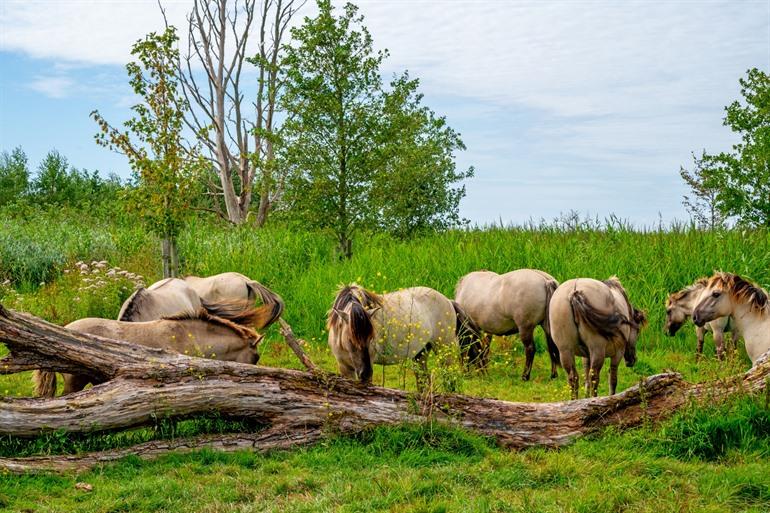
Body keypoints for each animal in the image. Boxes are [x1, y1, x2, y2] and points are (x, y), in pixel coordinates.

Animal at [327, 284, 482, 388]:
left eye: (371, 338)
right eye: (350, 339)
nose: (365, 373)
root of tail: (448, 301)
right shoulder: (345, 368)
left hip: (445, 349)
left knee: (450, 379)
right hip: (421, 354)